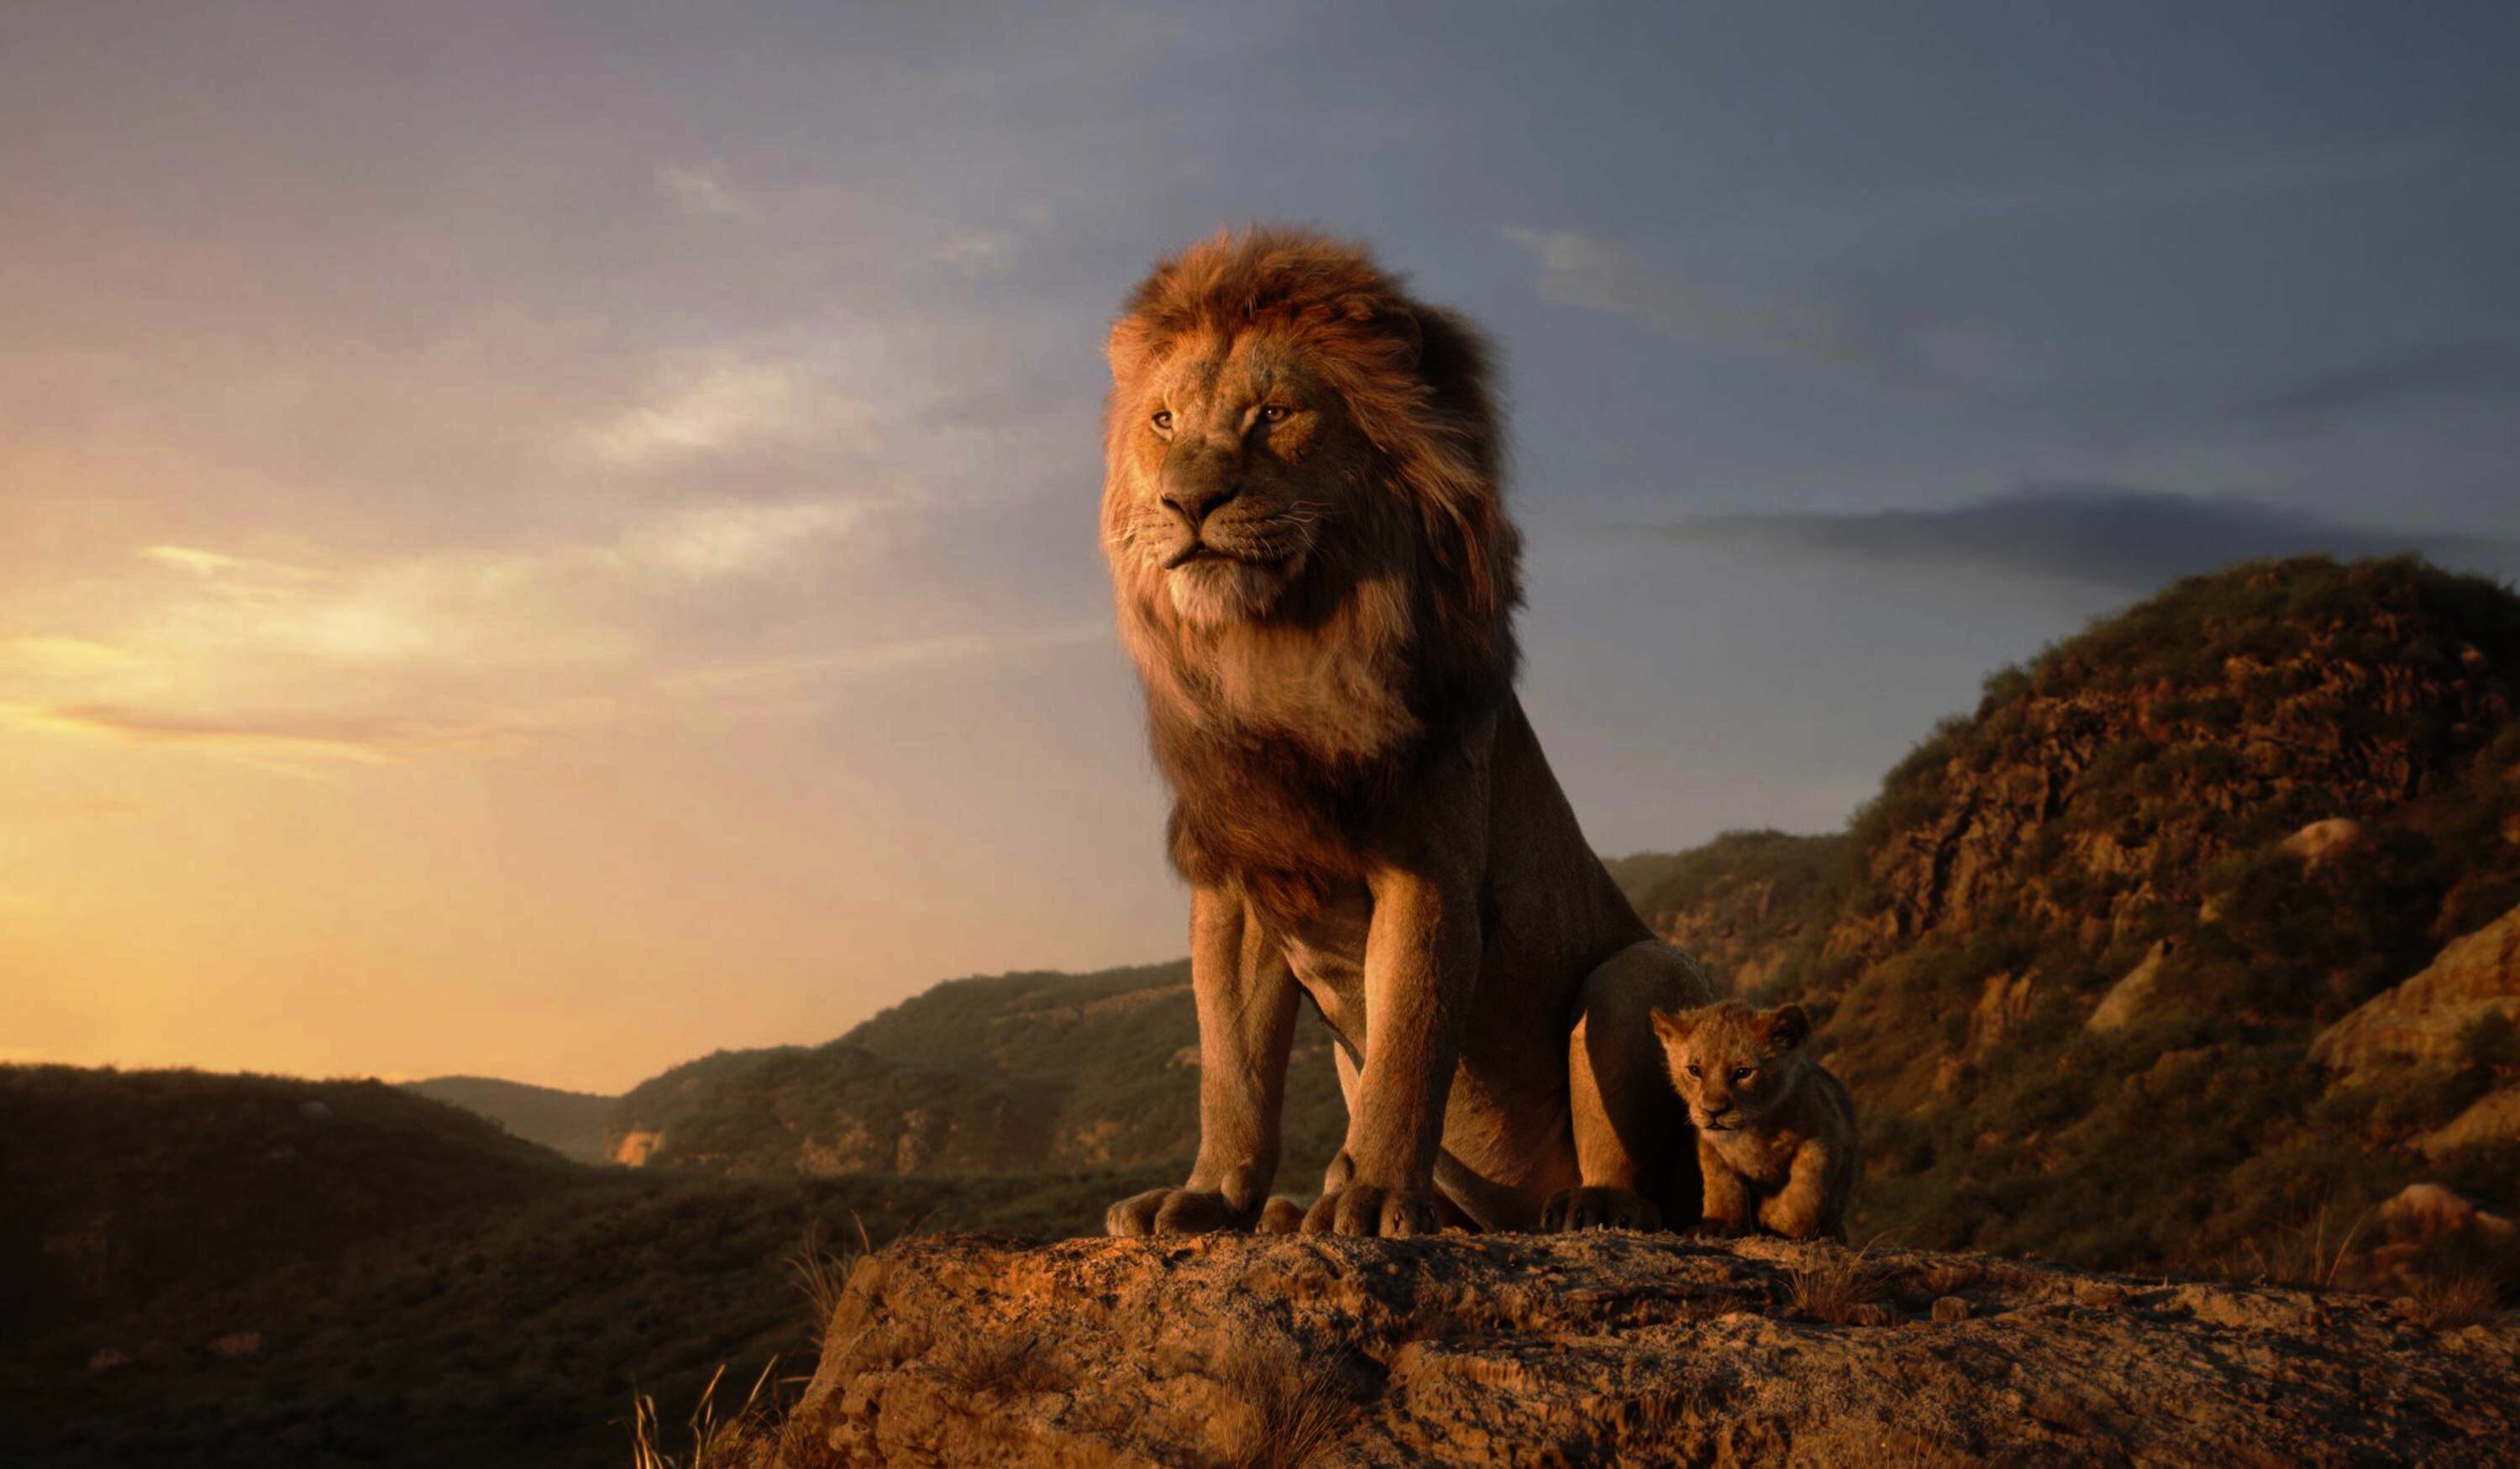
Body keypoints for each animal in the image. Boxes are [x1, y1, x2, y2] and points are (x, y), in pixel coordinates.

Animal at [1097, 227, 1716, 1238]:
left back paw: (1587, 1207)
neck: (1277, 652)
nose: (1188, 502)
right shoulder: (1238, 881)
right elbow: (1232, 1070)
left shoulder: (1430, 872)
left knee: (1644, 1176)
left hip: (1639, 972)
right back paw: (1295, 1211)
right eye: (1162, 421)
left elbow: (1408, 1049)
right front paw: (1210, 1197)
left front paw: (1376, 1196)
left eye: (1274, 414)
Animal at [1651, 1001, 1857, 1241]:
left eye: (1743, 1072)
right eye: (1694, 1070)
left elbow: (1806, 1190)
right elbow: (1722, 1185)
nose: (1713, 1112)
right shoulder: (1711, 1147)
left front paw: (1779, 1220)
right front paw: (1720, 1227)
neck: (1753, 1131)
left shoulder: (1823, 1137)